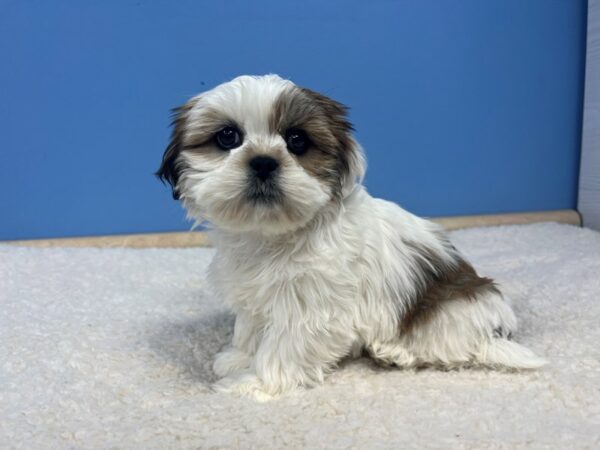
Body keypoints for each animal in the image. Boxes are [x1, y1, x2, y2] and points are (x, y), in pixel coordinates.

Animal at [157, 74, 548, 400]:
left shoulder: (310, 306)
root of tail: (494, 331)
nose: (264, 161)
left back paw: (396, 351)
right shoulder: (257, 291)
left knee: (448, 349)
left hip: (449, 312)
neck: (275, 235)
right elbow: (251, 326)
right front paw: (239, 357)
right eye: (228, 137)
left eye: (297, 141)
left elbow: (283, 346)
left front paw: (256, 383)